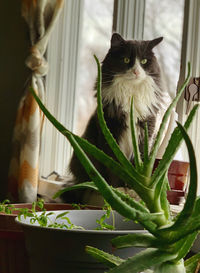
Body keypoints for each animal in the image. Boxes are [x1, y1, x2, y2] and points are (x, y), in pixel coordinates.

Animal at [63, 33, 171, 203]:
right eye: (126, 60)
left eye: (144, 61)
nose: (136, 72)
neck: (131, 95)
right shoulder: (110, 132)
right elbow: (114, 167)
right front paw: (117, 190)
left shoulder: (146, 132)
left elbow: (138, 163)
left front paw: (133, 191)